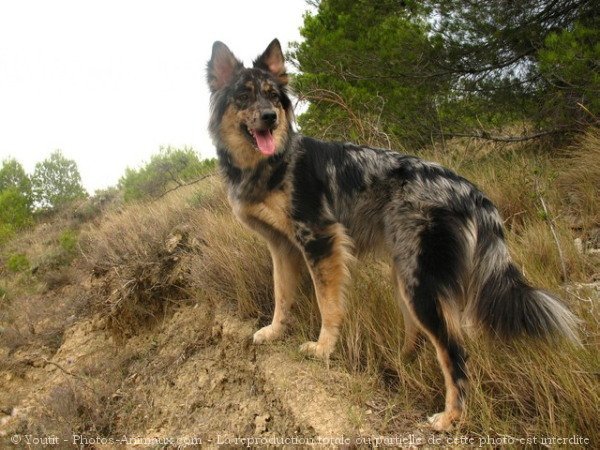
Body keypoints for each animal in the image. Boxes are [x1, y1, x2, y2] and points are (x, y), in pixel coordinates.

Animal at [205, 37, 576, 428]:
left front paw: (322, 349)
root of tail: (471, 191)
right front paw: (275, 331)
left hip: (420, 285)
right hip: (405, 273)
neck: (272, 162)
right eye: (244, 96)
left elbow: (327, 305)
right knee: (422, 337)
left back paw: (450, 417)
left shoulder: (320, 240)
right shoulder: (282, 247)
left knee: (454, 350)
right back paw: (401, 362)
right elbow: (281, 295)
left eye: (273, 96)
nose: (270, 117)